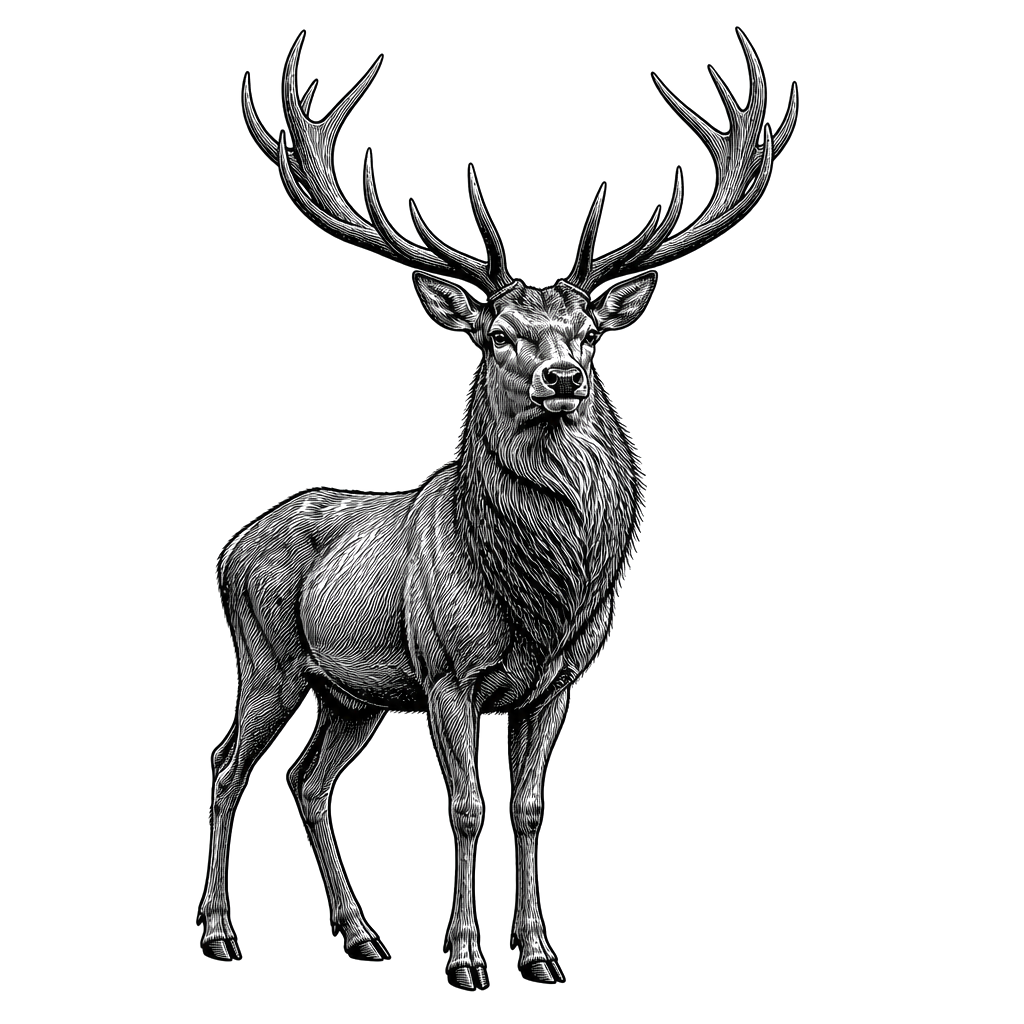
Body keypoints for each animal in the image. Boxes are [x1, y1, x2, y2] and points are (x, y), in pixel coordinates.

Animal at [197, 28, 798, 990]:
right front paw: (465, 954)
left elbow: (528, 806)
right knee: (225, 764)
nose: (564, 376)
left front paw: (541, 949)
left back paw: (360, 932)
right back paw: (219, 931)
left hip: (353, 692)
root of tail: (224, 547)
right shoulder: (447, 671)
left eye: (589, 331)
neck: (538, 596)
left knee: (308, 781)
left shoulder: (556, 681)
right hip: (270, 656)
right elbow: (467, 805)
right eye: (498, 335)